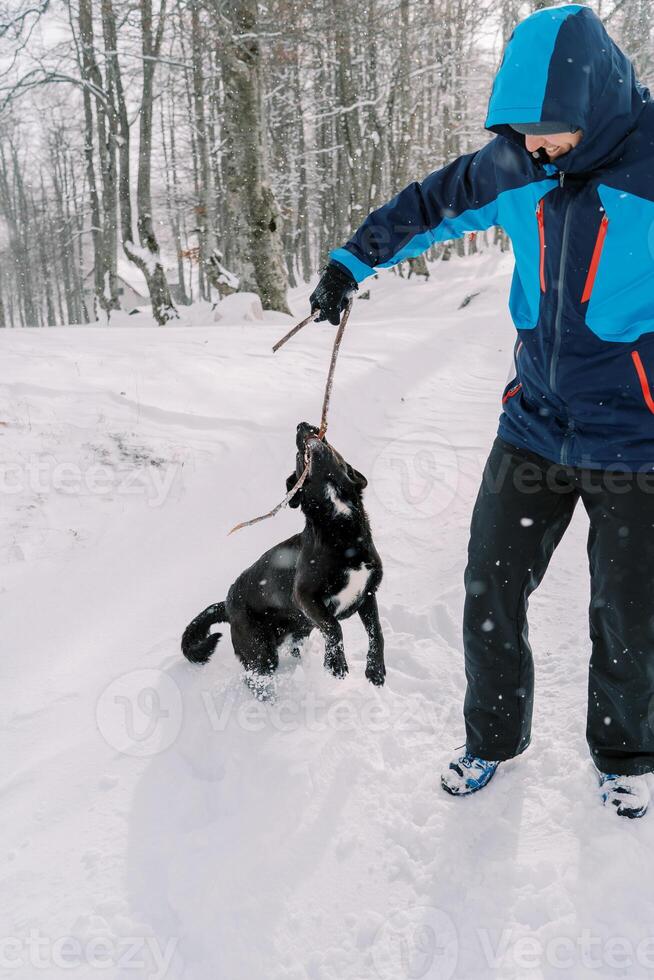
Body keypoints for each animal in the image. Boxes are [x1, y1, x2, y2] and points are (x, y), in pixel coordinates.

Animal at [181, 424, 384, 688]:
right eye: (297, 458)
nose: (303, 425)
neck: (339, 528)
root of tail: (226, 604)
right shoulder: (306, 596)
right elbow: (334, 627)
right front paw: (335, 665)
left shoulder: (368, 593)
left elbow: (376, 631)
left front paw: (376, 670)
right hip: (259, 651)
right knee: (257, 681)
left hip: (296, 633)